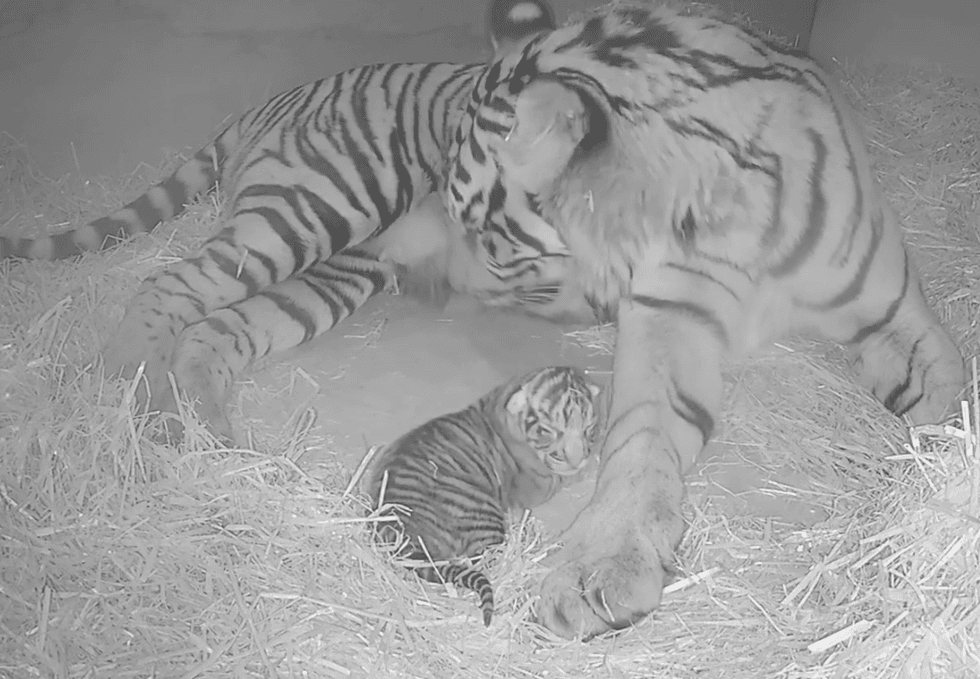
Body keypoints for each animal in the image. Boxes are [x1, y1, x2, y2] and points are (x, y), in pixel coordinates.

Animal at [0, 7, 600, 442]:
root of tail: (272, 102)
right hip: (317, 203)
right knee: (170, 284)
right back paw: (129, 386)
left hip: (335, 261)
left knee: (215, 329)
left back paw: (203, 429)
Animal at [364, 365, 602, 627]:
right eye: (550, 430)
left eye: (589, 428)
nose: (578, 459)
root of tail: (398, 529)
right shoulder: (542, 483)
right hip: (484, 516)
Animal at [443, 0, 966, 639]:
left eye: (482, 233)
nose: (447, 282)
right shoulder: (671, 319)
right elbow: (639, 444)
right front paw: (600, 566)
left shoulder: (895, 314)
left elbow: (940, 408)